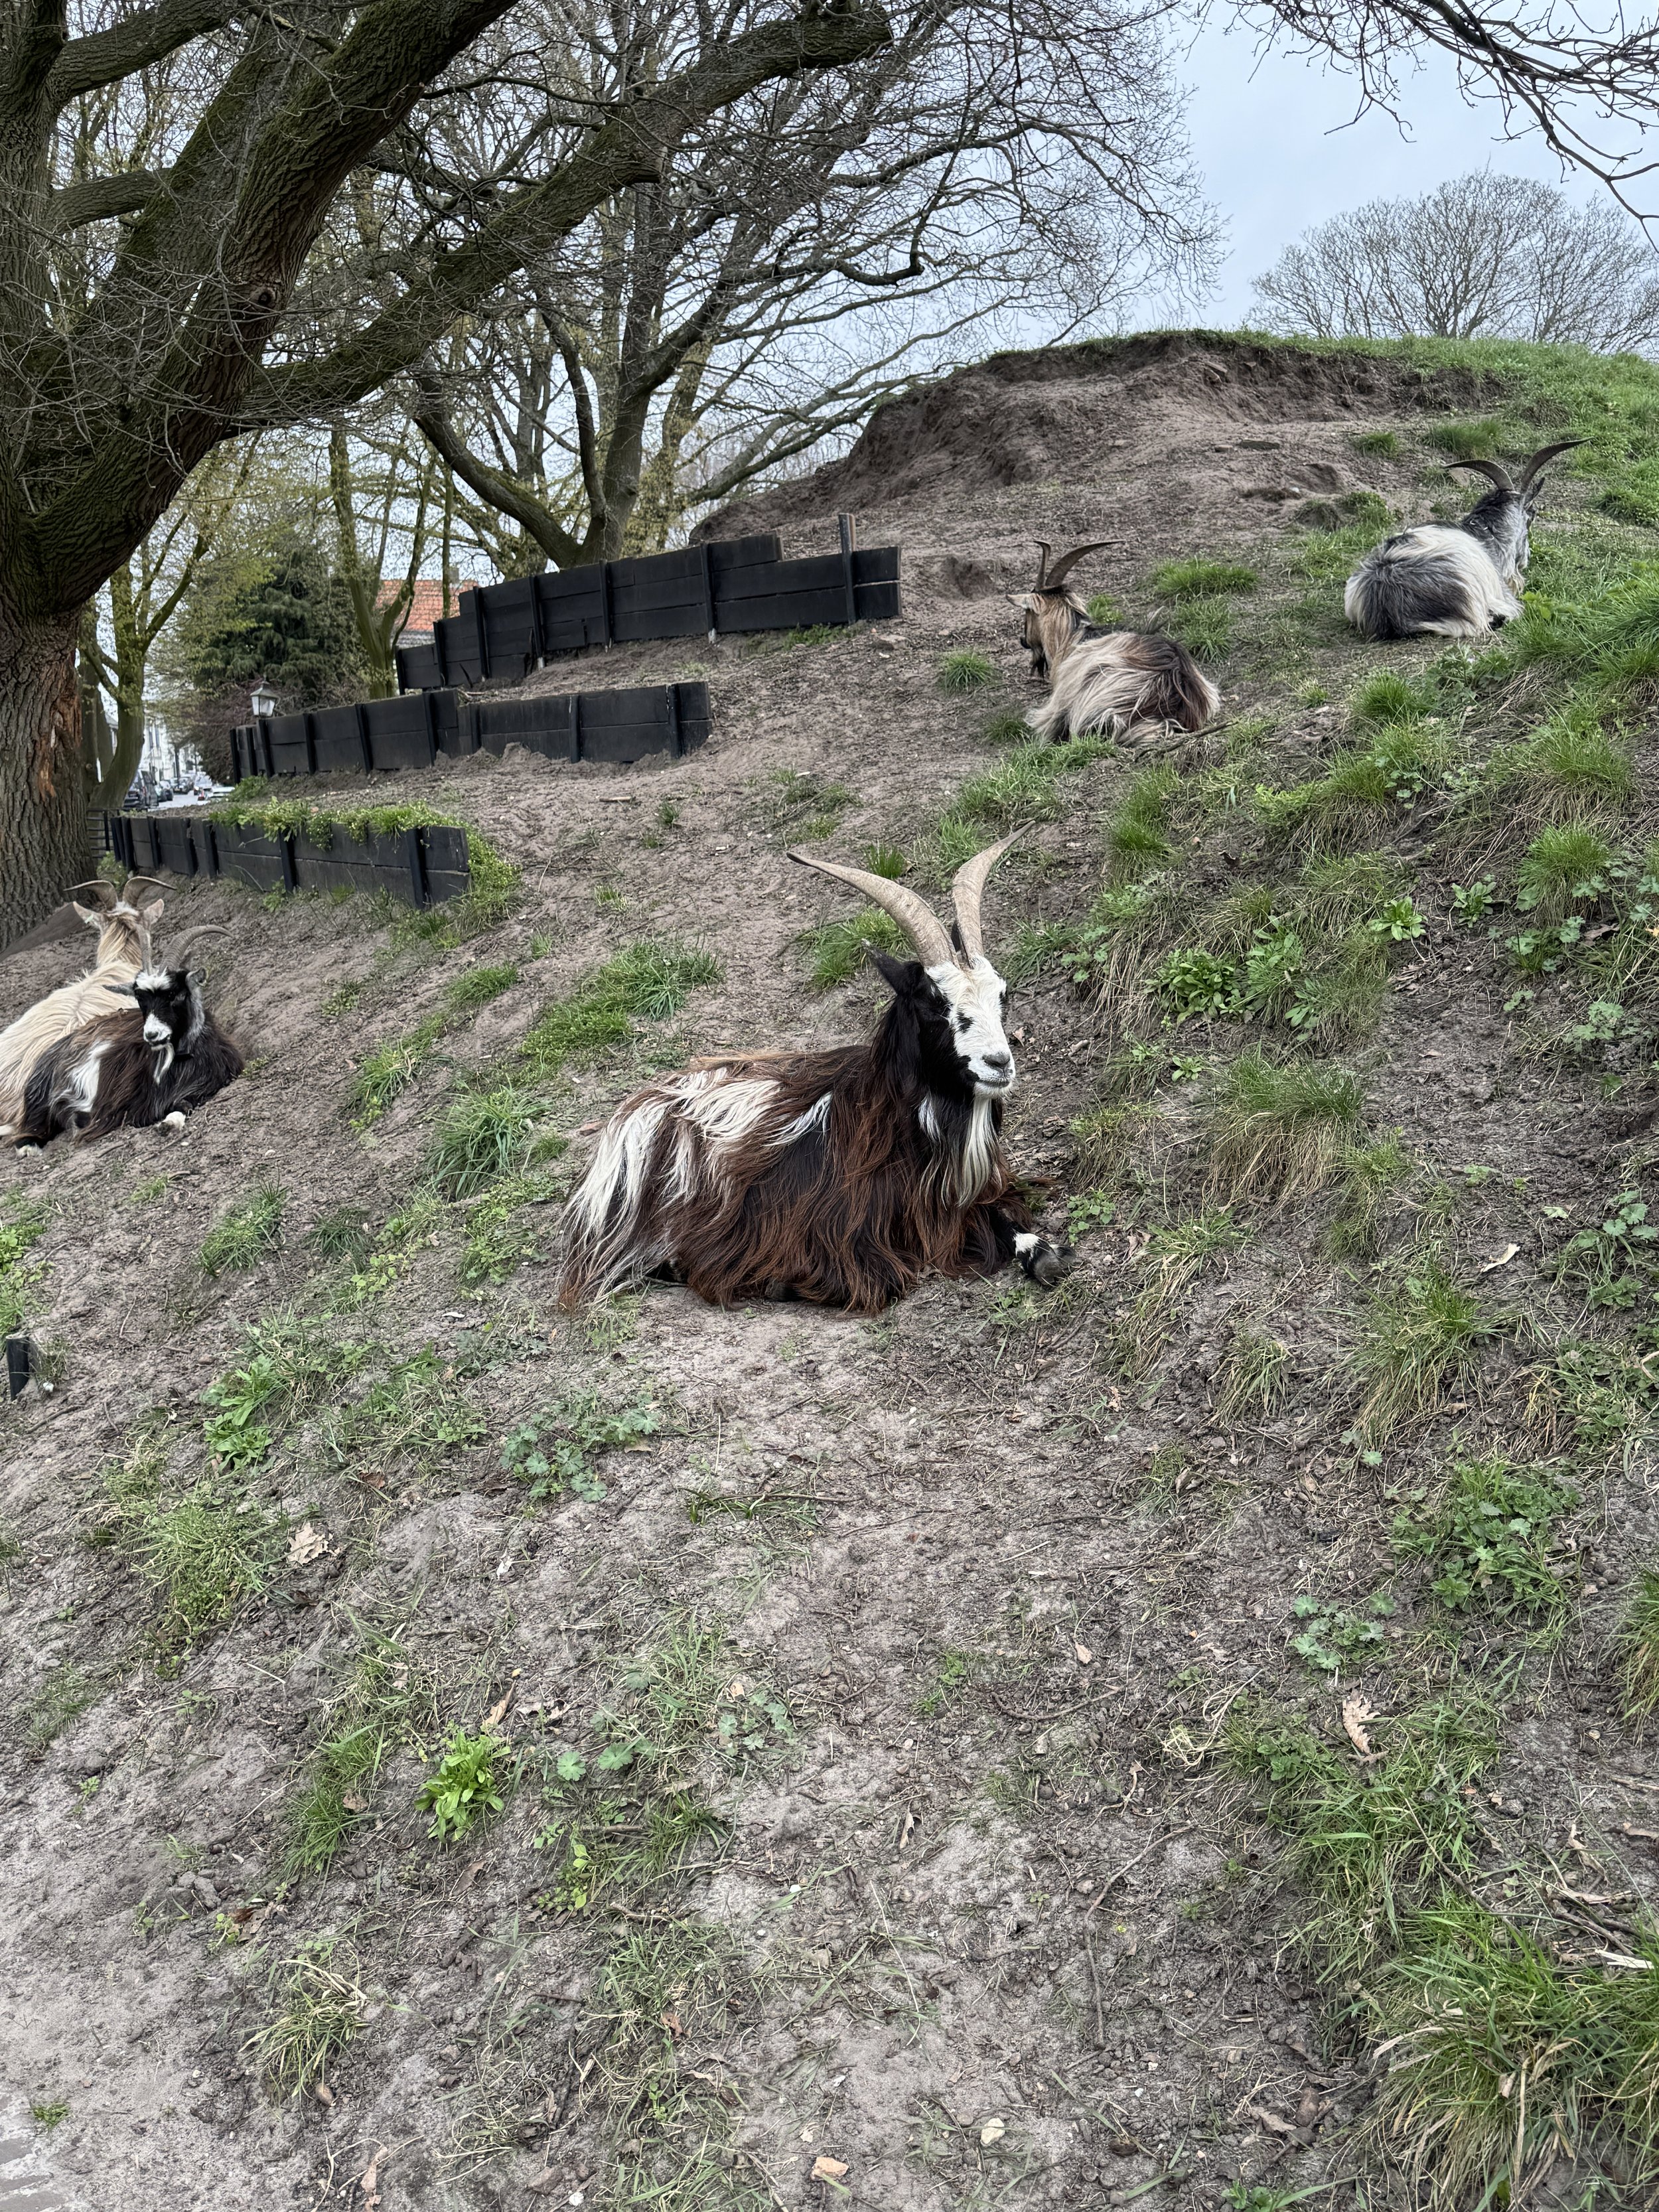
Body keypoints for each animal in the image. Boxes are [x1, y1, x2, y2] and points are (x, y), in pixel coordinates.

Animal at [10, 928, 243, 1148]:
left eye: (173, 994)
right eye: (140, 998)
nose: (151, 1035)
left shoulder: (212, 1081)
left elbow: (185, 1103)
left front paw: (169, 1123)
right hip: (40, 1090)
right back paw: (30, 1144)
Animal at [555, 839, 1065, 1313]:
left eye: (1002, 994)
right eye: (934, 1002)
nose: (999, 1063)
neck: (887, 1122)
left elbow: (1027, 1238)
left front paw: (1040, 1253)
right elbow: (872, 1279)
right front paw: (775, 1281)